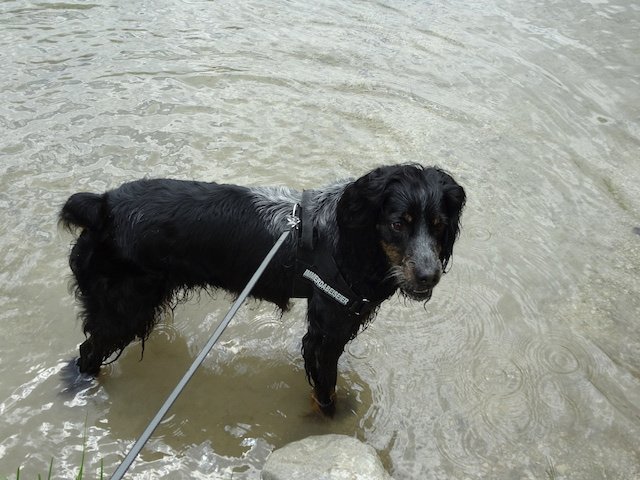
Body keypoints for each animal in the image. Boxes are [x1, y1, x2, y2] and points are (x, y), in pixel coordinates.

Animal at [59, 164, 465, 415]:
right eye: (398, 223)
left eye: (438, 224)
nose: (429, 276)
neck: (350, 240)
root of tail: (103, 206)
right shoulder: (324, 333)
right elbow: (326, 393)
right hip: (123, 308)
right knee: (87, 352)